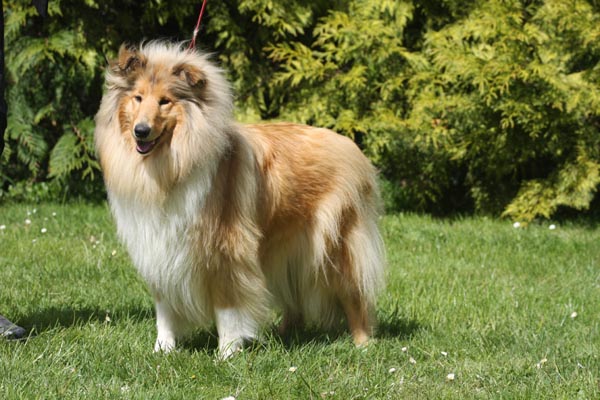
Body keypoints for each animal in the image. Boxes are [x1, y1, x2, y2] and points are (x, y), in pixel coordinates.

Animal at [94, 41, 385, 359]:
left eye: (165, 101)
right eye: (138, 98)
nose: (141, 131)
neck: (172, 163)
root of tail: (350, 147)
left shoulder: (225, 248)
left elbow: (227, 308)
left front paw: (227, 354)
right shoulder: (160, 247)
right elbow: (165, 309)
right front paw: (163, 350)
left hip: (334, 246)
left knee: (353, 294)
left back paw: (363, 344)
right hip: (289, 248)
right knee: (295, 298)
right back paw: (283, 334)